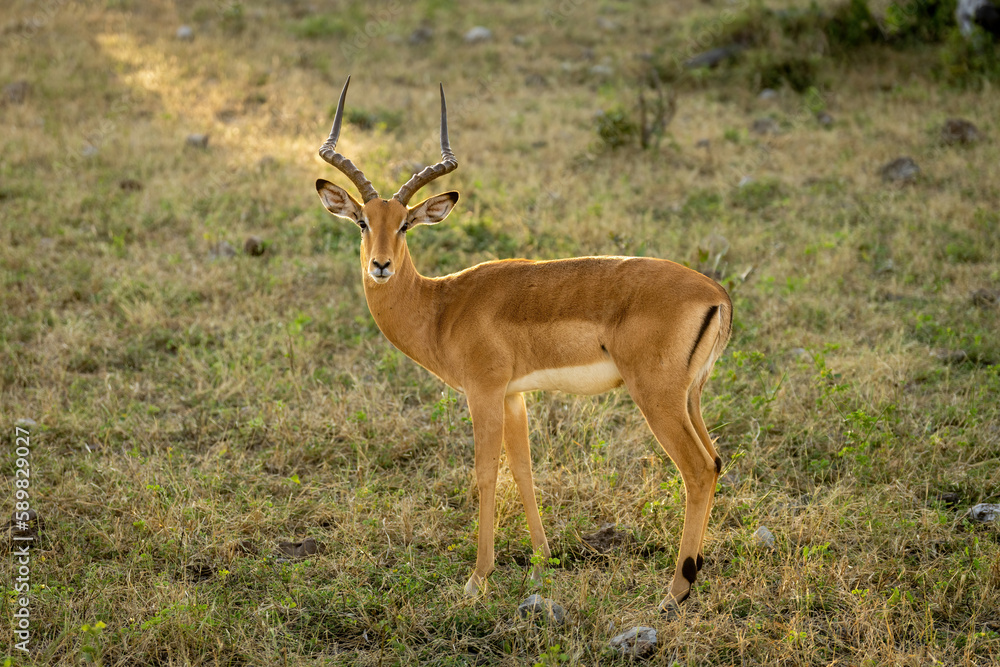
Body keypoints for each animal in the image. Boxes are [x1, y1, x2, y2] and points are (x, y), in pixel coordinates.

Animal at [314, 77, 733, 613]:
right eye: (363, 221)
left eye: (404, 223)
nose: (381, 266)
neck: (442, 306)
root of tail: (716, 294)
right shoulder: (515, 396)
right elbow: (525, 470)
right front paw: (540, 563)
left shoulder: (484, 393)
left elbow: (486, 475)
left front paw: (477, 580)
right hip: (690, 398)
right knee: (715, 462)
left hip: (656, 397)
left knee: (697, 470)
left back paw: (674, 593)